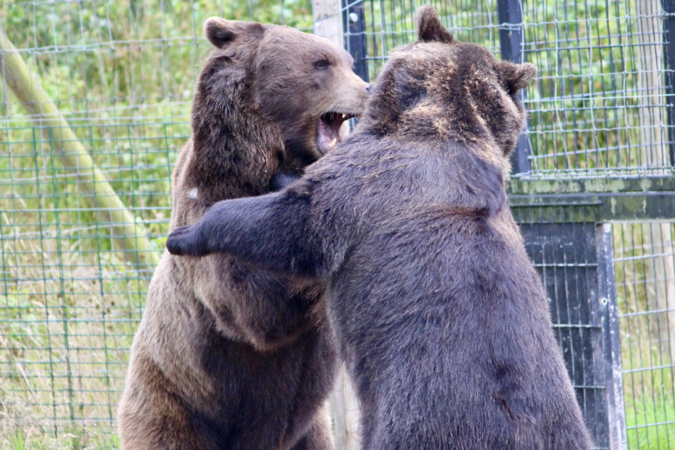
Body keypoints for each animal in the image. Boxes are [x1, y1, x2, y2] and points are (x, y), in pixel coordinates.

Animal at [116, 14, 370, 450]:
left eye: (348, 61)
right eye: (321, 63)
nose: (367, 89)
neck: (266, 157)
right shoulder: (207, 194)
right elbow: (251, 300)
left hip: (308, 430)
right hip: (176, 400)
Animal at [166, 7, 596, 450]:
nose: (368, 85)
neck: (446, 117)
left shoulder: (371, 183)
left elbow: (297, 223)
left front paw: (187, 233)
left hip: (419, 412)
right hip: (559, 423)